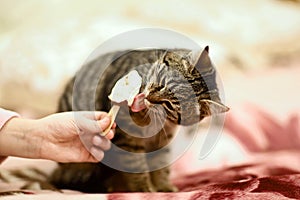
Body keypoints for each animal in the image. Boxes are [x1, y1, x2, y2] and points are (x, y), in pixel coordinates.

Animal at [49, 46, 229, 192]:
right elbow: (136, 166)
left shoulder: (162, 140)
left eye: (169, 105)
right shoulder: (129, 140)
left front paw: (164, 187)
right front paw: (144, 190)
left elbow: (160, 165)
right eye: (162, 83)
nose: (147, 97)